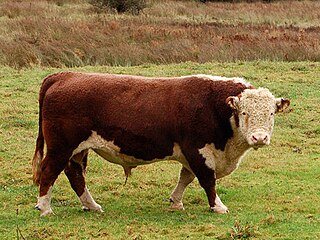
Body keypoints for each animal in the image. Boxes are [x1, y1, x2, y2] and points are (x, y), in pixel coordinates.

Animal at [32, 72, 290, 217]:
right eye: (244, 113)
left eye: (271, 113)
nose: (259, 138)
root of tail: (64, 75)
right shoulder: (198, 150)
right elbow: (207, 180)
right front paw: (218, 206)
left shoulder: (191, 153)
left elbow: (186, 177)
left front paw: (176, 201)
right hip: (61, 147)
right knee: (49, 172)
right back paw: (45, 208)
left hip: (77, 149)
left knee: (75, 174)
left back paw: (92, 206)